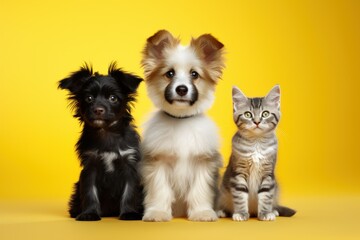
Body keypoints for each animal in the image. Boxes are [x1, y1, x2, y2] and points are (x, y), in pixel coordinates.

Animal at [58, 62, 143, 221]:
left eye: (113, 98)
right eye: (89, 98)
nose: (98, 110)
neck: (106, 132)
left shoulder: (129, 167)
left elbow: (129, 192)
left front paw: (129, 213)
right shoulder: (90, 167)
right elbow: (90, 192)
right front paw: (89, 213)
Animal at [141, 30, 225, 221]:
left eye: (194, 74)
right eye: (169, 73)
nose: (181, 89)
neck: (181, 120)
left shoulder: (203, 162)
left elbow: (200, 190)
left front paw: (202, 212)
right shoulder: (158, 162)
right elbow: (160, 190)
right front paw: (158, 212)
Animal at [217, 85, 296, 221]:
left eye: (265, 113)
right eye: (248, 114)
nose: (257, 122)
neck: (256, 143)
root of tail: (253, 211)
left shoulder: (268, 173)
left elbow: (266, 195)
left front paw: (265, 213)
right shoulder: (239, 172)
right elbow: (240, 195)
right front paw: (241, 213)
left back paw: (273, 211)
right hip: (223, 191)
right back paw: (222, 211)